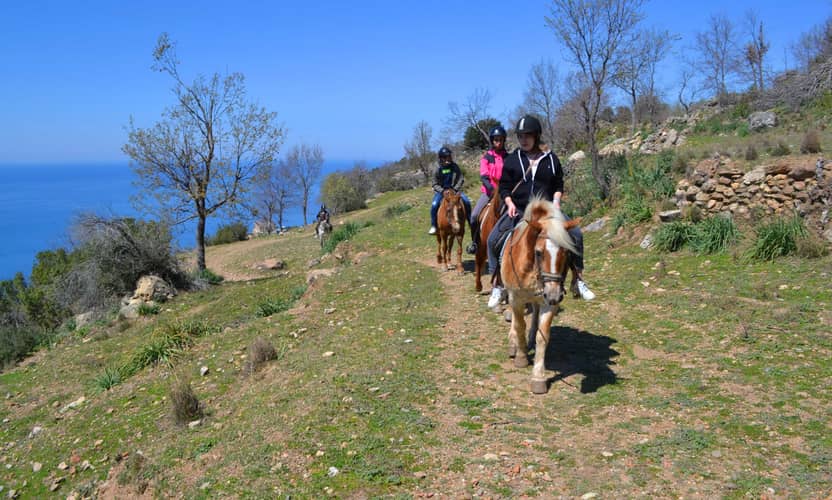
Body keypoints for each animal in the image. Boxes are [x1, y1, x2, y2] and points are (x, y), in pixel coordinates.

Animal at [500, 197, 580, 394]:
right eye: (538, 252)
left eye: (567, 252)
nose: (553, 294)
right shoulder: (516, 298)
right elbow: (519, 325)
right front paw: (521, 357)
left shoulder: (548, 303)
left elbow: (542, 335)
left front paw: (538, 377)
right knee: (515, 319)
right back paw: (514, 343)